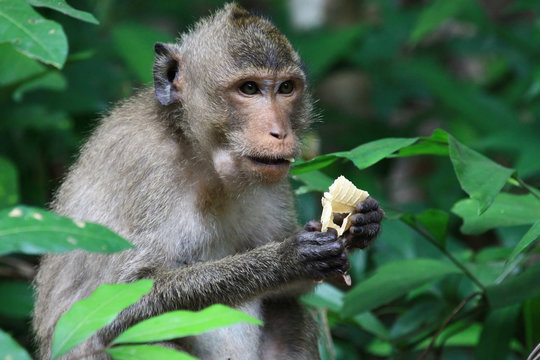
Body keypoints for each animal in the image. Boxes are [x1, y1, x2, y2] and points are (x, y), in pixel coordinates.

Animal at [32, 3, 384, 360]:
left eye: (286, 88)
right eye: (249, 88)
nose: (279, 132)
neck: (197, 151)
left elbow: (290, 292)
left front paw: (360, 225)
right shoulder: (148, 167)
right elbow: (122, 304)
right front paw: (287, 259)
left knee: (287, 309)